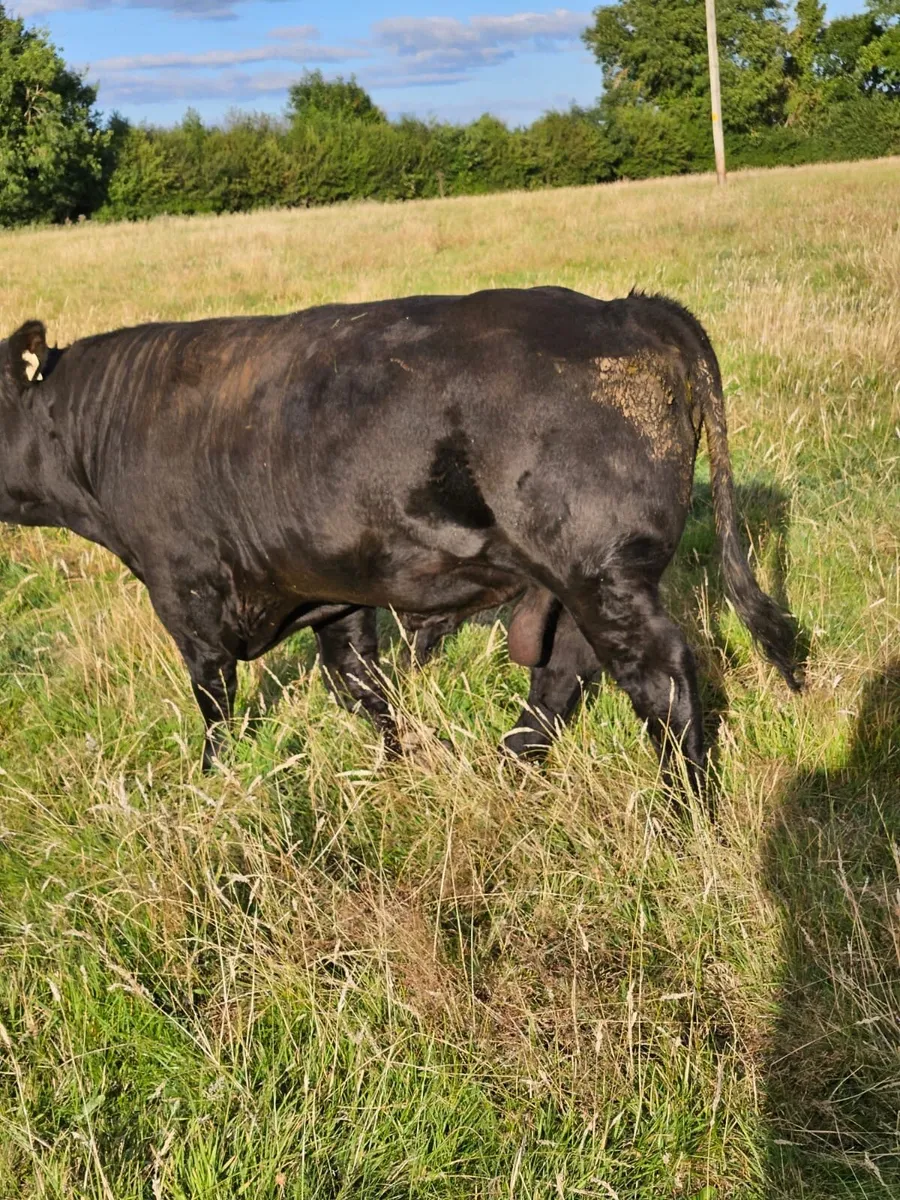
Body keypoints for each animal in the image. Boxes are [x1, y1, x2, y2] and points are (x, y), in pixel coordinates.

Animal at [0, 287, 801, 789]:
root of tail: (626, 309)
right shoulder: (333, 589)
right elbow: (360, 685)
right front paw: (396, 765)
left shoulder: (184, 591)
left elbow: (215, 702)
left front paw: (209, 784)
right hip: (578, 583)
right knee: (564, 670)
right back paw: (512, 765)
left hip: (602, 572)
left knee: (659, 678)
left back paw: (683, 811)